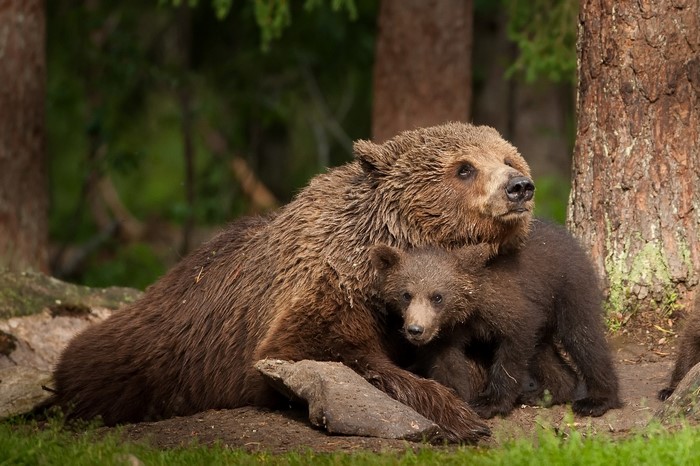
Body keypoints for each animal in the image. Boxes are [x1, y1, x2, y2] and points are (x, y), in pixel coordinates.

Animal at [52, 122, 535, 444]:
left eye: (508, 157)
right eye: (464, 168)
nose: (520, 186)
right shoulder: (329, 290)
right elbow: (317, 352)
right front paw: (459, 416)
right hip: (152, 352)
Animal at [370, 219, 621, 419]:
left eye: (437, 296)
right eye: (406, 294)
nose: (415, 330)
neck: (468, 310)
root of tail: (567, 237)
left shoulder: (507, 305)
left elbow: (513, 347)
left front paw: (490, 403)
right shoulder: (447, 333)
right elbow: (447, 363)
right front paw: (456, 397)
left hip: (568, 287)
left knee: (583, 337)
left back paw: (597, 400)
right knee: (543, 350)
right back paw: (547, 393)